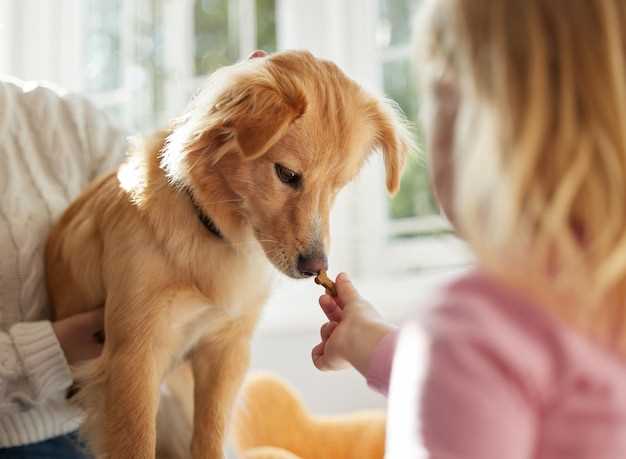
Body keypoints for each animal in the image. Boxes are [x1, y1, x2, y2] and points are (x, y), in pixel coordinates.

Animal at [46, 50, 412, 459]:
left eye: (338, 186)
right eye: (287, 174)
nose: (316, 267)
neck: (212, 231)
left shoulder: (224, 351)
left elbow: (209, 436)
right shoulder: (134, 359)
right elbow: (136, 441)